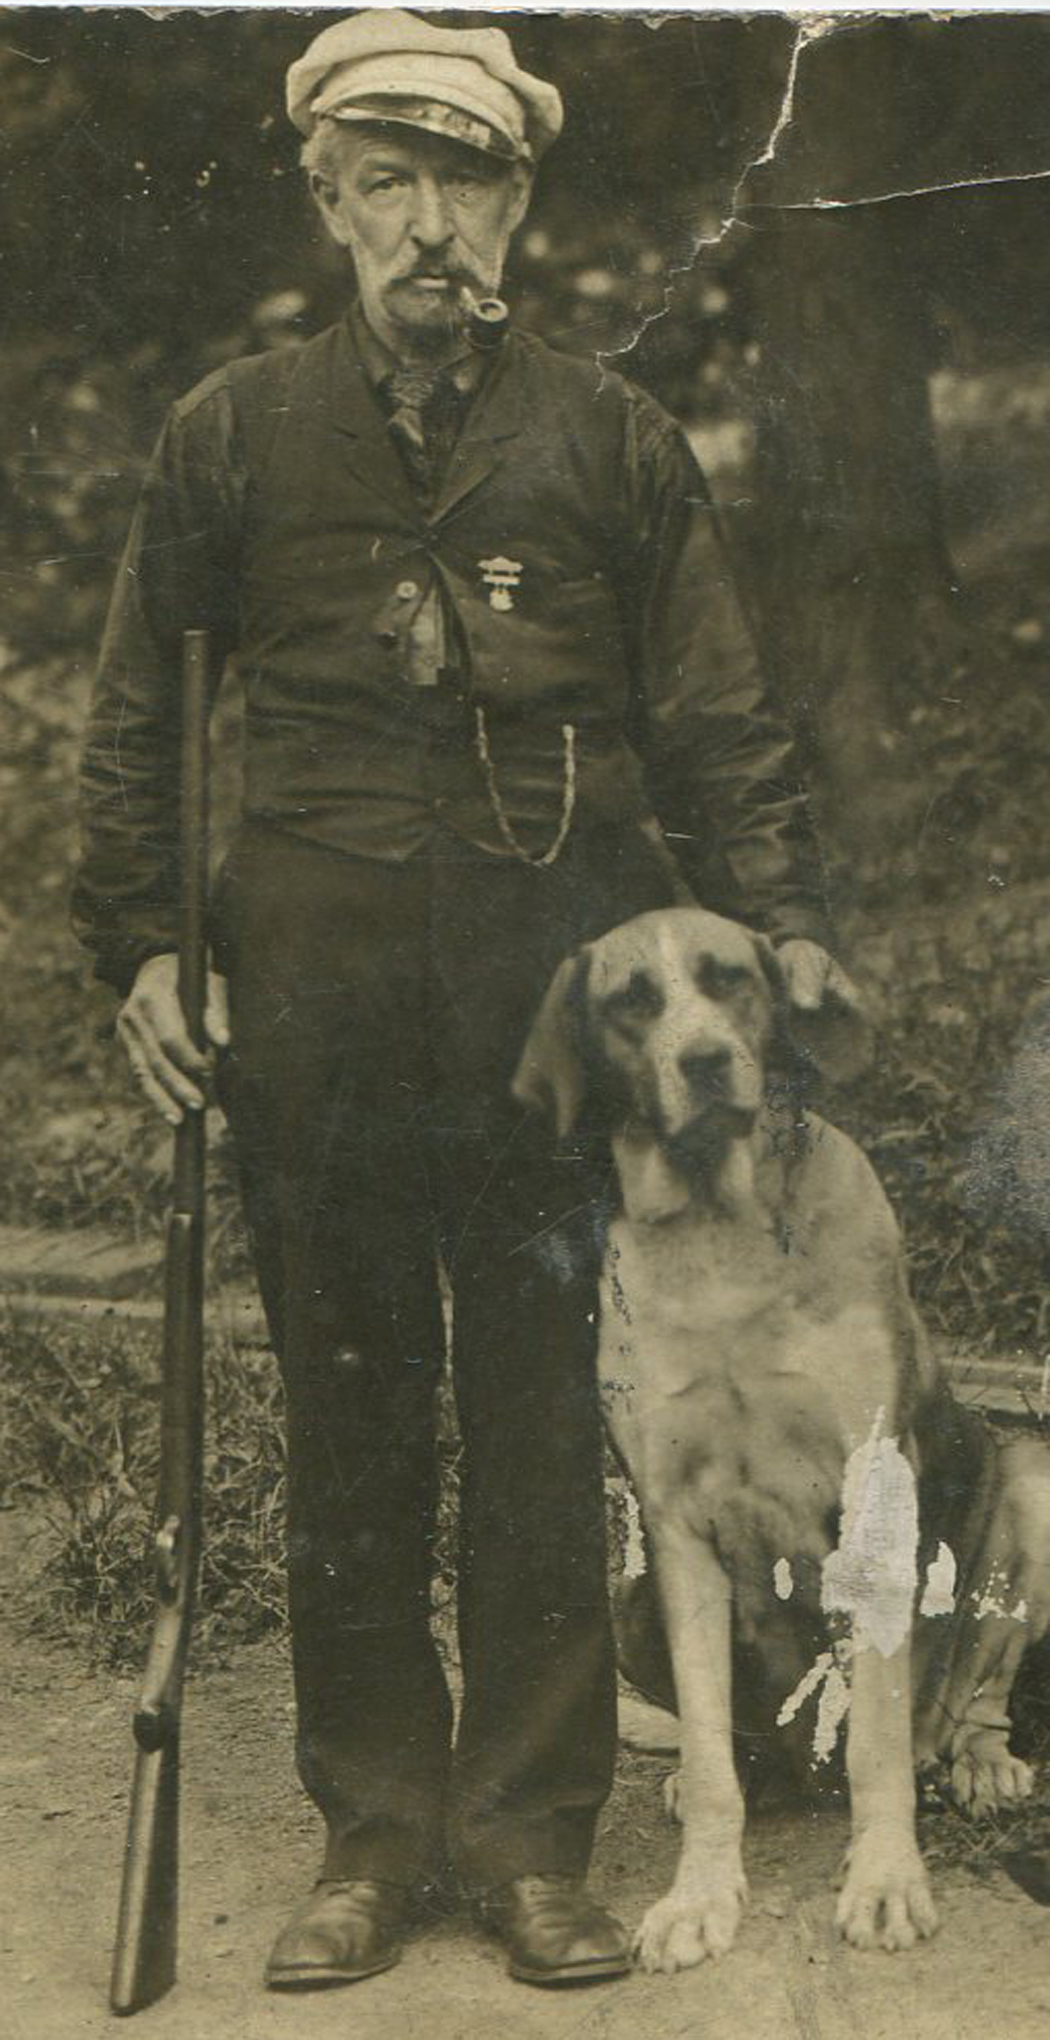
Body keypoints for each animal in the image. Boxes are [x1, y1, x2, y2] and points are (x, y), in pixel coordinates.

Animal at [514, 905, 1050, 1970]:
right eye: (633, 1001)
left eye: (729, 978)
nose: (706, 1060)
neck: (724, 1228)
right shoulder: (675, 1525)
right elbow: (710, 1741)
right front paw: (699, 1895)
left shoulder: (874, 1503)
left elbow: (879, 1746)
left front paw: (885, 1882)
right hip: (626, 1593)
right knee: (737, 1747)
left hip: (1032, 1489)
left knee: (956, 1707)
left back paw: (979, 1761)